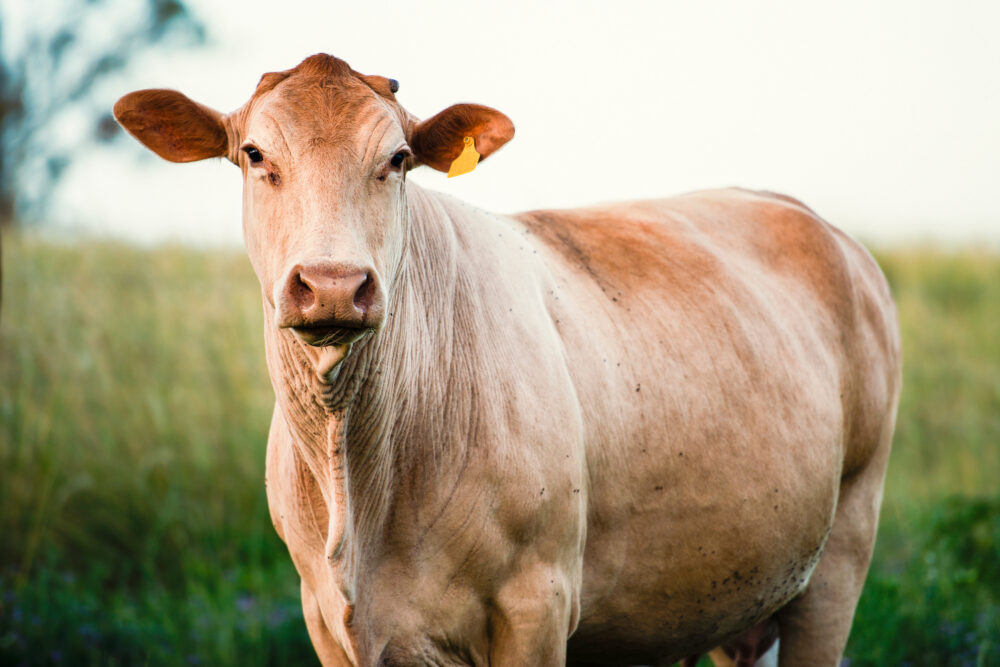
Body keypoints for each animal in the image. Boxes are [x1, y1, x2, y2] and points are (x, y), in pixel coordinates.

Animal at [113, 53, 901, 666]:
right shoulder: (326, 618)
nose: (333, 283)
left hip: (844, 549)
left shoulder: (538, 602)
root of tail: (811, 220)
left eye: (397, 159)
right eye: (254, 154)